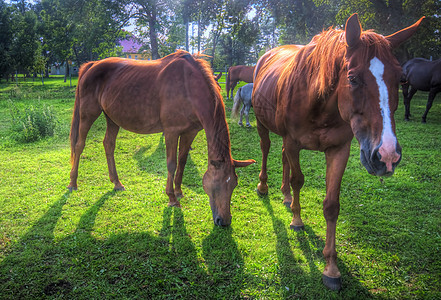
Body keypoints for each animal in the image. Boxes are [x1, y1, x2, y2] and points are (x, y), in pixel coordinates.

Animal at [69, 49, 254, 227]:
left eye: (234, 184)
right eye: (218, 184)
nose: (224, 221)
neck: (188, 87)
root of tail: (92, 65)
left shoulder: (190, 132)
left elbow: (182, 161)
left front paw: (178, 192)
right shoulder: (171, 132)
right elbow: (171, 164)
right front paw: (171, 198)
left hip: (112, 118)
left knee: (108, 144)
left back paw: (116, 182)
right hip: (88, 113)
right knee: (79, 145)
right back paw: (73, 182)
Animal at [251, 14, 422, 290]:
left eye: (400, 78)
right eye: (352, 78)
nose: (387, 155)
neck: (318, 102)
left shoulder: (339, 149)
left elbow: (331, 205)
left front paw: (331, 267)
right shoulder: (294, 142)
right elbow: (298, 180)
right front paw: (297, 221)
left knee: (283, 158)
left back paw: (286, 196)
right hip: (261, 123)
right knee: (266, 150)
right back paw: (264, 187)